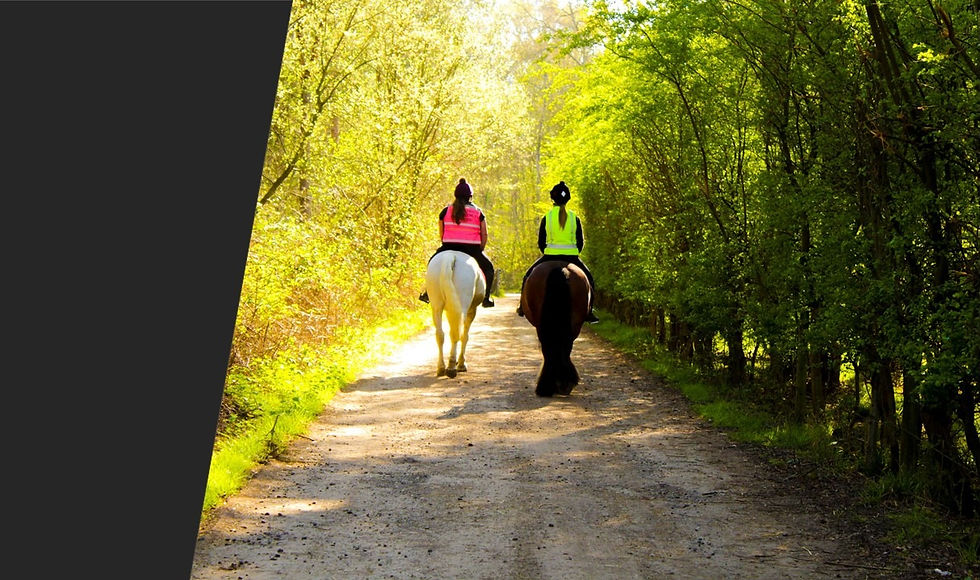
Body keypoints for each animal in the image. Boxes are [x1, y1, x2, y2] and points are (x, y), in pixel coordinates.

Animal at [425, 250, 487, 378]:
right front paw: (462, 364)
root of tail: (450, 256)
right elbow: (465, 336)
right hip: (462, 306)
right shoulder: (471, 310)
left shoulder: (450, 311)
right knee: (456, 334)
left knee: (440, 335)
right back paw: (452, 367)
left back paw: (441, 367)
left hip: (437, 306)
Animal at [519, 260, 591, 396]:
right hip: (573, 324)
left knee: (550, 348)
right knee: (564, 346)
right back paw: (562, 383)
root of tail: (560, 268)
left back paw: (549, 386)